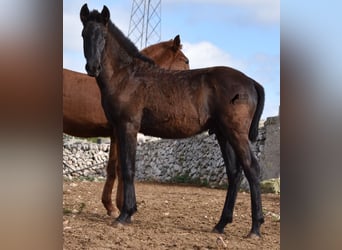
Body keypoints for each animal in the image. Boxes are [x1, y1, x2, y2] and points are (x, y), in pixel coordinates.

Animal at [81, 4, 266, 238]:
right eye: (84, 34)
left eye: (104, 36)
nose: (92, 67)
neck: (127, 76)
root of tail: (250, 81)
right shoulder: (119, 129)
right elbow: (124, 167)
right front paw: (128, 211)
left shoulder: (128, 126)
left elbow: (128, 168)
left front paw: (124, 215)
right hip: (224, 134)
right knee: (234, 173)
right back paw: (221, 224)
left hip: (236, 133)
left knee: (252, 168)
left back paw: (255, 228)